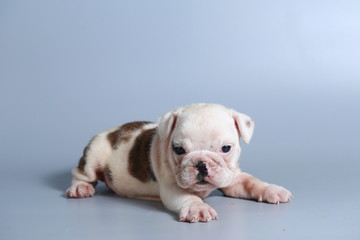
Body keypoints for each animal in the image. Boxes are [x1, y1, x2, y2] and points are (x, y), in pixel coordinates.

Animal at [66, 103, 292, 223]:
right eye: (179, 149)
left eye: (226, 148)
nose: (201, 164)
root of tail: (111, 131)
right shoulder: (171, 187)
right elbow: (188, 197)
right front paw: (198, 209)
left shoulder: (233, 178)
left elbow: (252, 182)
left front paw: (273, 190)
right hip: (93, 155)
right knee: (80, 173)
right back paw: (80, 188)